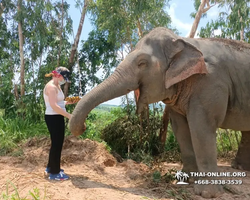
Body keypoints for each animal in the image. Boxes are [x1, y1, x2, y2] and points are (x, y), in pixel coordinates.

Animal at [69, 27, 250, 198]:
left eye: (142, 63)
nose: (83, 127)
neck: (184, 42)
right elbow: (180, 129)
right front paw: (185, 179)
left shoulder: (210, 82)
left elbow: (202, 127)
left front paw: (208, 194)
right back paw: (239, 168)